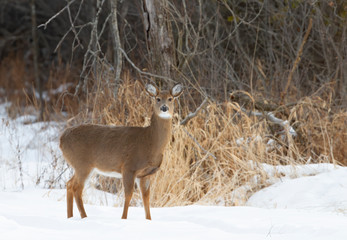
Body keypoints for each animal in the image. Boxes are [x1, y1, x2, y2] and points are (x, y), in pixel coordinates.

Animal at [60, 82, 184, 219]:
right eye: (157, 98)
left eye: (170, 98)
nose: (164, 108)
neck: (150, 142)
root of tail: (62, 139)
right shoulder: (129, 167)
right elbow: (128, 195)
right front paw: (123, 218)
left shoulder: (145, 174)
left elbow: (146, 198)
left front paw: (149, 220)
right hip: (82, 163)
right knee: (76, 188)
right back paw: (84, 217)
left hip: (82, 166)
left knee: (69, 184)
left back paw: (70, 217)